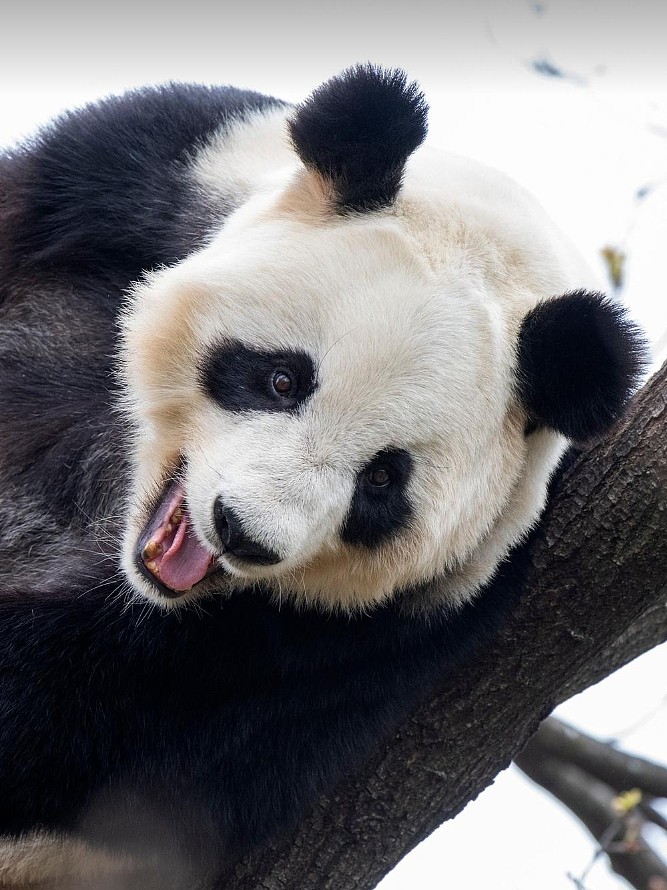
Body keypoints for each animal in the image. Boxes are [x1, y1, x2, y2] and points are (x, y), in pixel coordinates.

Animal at [0, 66, 648, 884]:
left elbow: (99, 721)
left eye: (382, 482)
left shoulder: (376, 636)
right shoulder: (125, 175)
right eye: (282, 379)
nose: (242, 534)